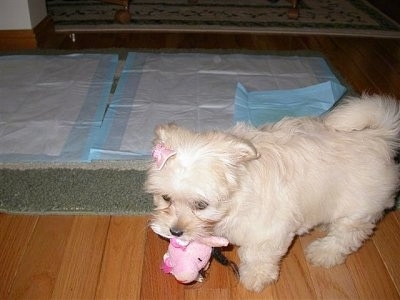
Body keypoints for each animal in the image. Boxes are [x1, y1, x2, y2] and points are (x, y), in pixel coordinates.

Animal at [145, 93, 398, 290]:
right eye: (166, 198)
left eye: (201, 205)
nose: (175, 231)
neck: (238, 195)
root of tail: (378, 137)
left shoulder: (268, 229)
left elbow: (258, 254)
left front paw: (254, 278)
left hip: (359, 206)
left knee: (347, 234)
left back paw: (324, 253)